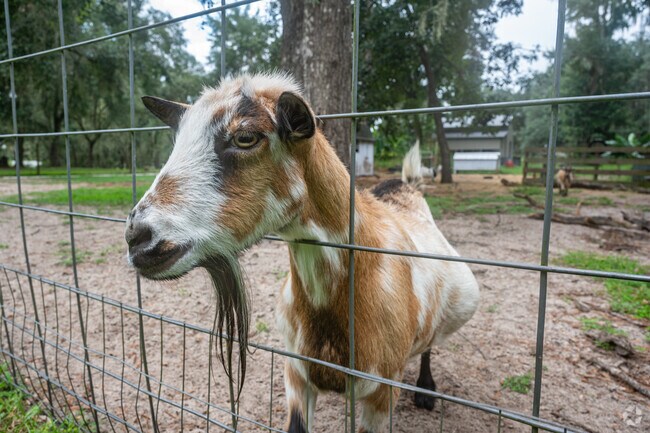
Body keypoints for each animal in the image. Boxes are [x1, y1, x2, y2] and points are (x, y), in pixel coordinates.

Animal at [125, 73, 480, 433]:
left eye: (245, 137)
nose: (136, 237)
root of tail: (406, 185)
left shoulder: (381, 393)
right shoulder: (296, 372)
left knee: (429, 345)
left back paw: (426, 391)